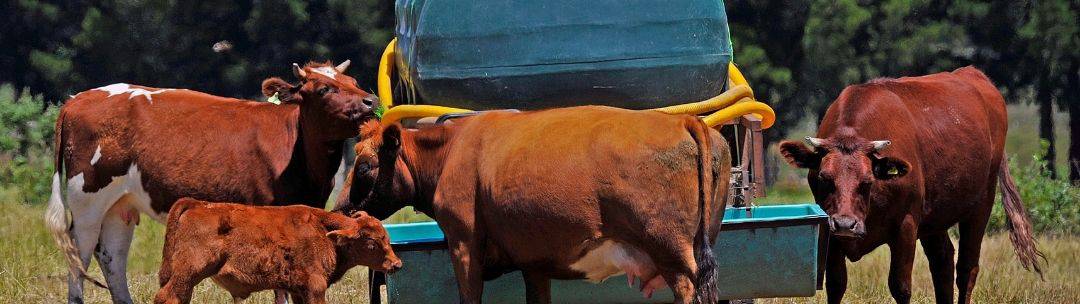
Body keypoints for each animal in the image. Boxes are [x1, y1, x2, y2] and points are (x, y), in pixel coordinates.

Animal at [154, 197, 403, 300]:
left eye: (387, 238)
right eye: (372, 243)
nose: (397, 264)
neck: (321, 229)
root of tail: (198, 204)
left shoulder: (298, 290)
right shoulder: (315, 287)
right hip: (189, 273)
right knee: (168, 297)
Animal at [332, 105, 730, 300]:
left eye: (364, 166)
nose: (338, 209)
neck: (451, 151)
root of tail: (684, 120)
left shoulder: (463, 244)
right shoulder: (534, 263)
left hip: (671, 253)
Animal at [777, 66, 1045, 302]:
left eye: (867, 181)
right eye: (824, 178)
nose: (845, 224)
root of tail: (973, 74)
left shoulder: (906, 226)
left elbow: (900, 286)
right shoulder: (831, 232)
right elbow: (836, 285)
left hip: (982, 204)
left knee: (967, 269)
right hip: (935, 217)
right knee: (943, 261)